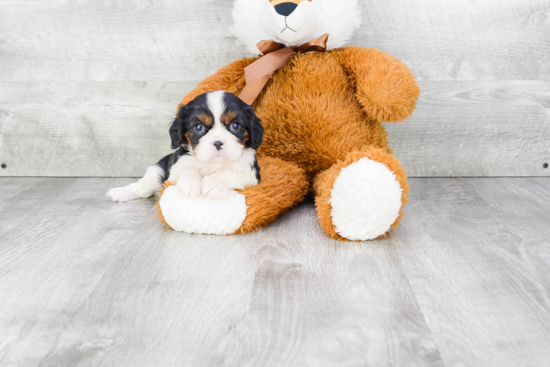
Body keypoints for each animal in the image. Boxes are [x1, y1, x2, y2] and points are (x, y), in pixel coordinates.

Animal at [108, 90, 266, 203]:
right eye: (198, 127)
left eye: (235, 126)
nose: (218, 142)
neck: (212, 163)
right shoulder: (175, 168)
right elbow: (188, 168)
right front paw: (191, 183)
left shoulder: (251, 176)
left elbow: (228, 173)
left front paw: (213, 182)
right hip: (156, 173)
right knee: (140, 188)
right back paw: (119, 193)